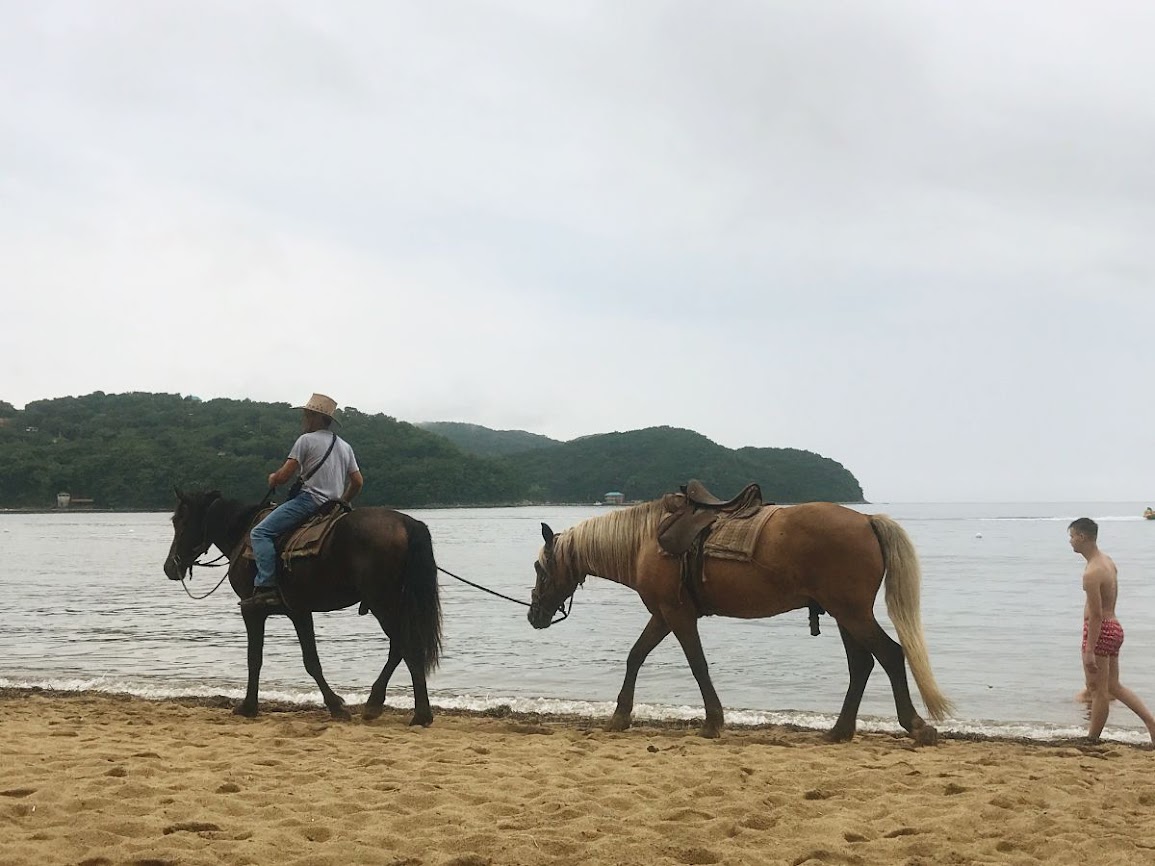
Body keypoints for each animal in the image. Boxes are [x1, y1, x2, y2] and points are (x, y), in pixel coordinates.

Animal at [167, 489, 441, 725]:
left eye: (179, 521)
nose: (169, 566)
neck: (243, 534)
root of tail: (407, 524)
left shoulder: (252, 610)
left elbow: (254, 659)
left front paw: (248, 707)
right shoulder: (298, 611)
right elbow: (311, 660)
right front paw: (335, 706)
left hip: (383, 604)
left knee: (406, 647)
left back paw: (417, 714)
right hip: (393, 605)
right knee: (399, 648)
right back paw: (380, 705)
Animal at [528, 501, 951, 748]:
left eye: (539, 567)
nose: (534, 615)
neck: (646, 542)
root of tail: (865, 519)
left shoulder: (676, 615)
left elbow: (697, 665)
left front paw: (713, 722)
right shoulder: (663, 615)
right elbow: (636, 656)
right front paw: (620, 716)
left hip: (852, 613)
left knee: (890, 655)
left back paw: (915, 726)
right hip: (847, 614)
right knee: (862, 664)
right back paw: (840, 730)